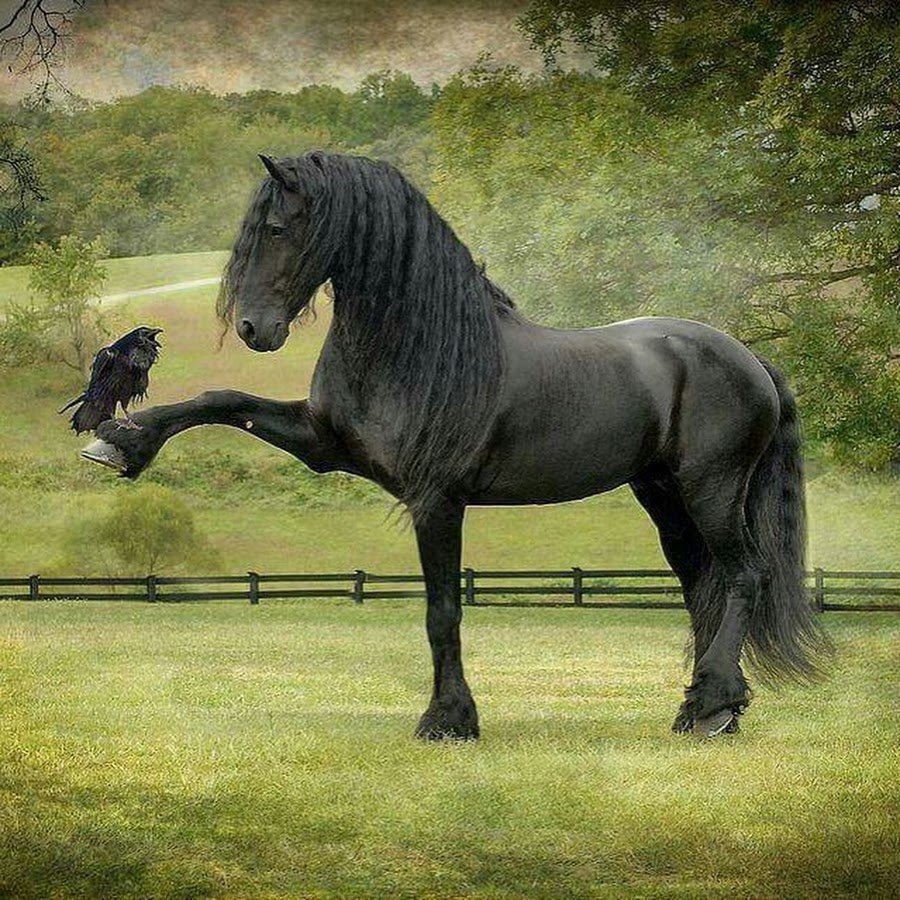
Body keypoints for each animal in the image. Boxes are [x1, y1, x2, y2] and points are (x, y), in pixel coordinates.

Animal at [88, 150, 830, 740]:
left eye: (276, 229)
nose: (253, 329)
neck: (418, 345)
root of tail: (749, 358)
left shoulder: (436, 501)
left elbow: (442, 611)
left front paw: (448, 720)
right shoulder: (324, 445)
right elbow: (222, 401)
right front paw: (124, 442)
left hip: (712, 489)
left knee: (743, 576)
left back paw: (713, 705)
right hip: (663, 496)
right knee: (702, 583)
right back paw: (706, 708)